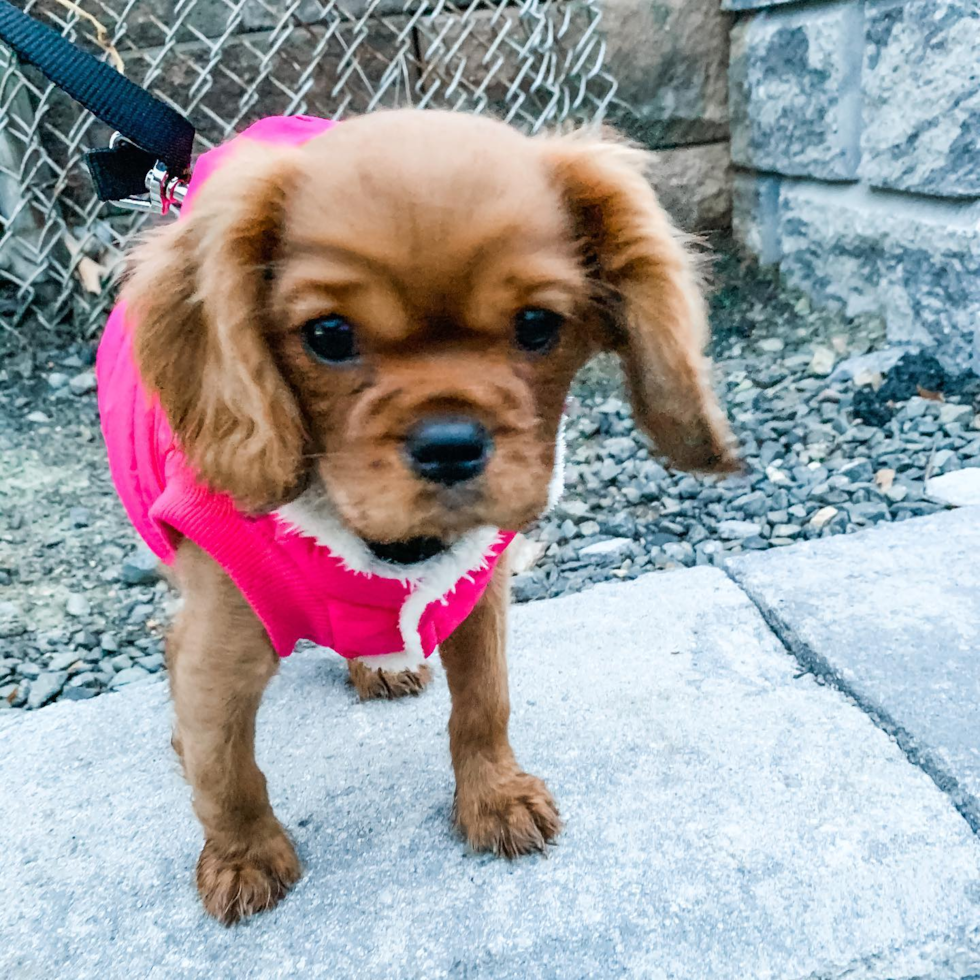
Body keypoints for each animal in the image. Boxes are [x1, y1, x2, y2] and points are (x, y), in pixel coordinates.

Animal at [95, 111, 736, 924]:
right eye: (328, 336)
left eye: (537, 325)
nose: (451, 444)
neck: (390, 544)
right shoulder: (220, 646)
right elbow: (224, 766)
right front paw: (243, 858)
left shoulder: (477, 597)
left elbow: (485, 705)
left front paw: (494, 797)